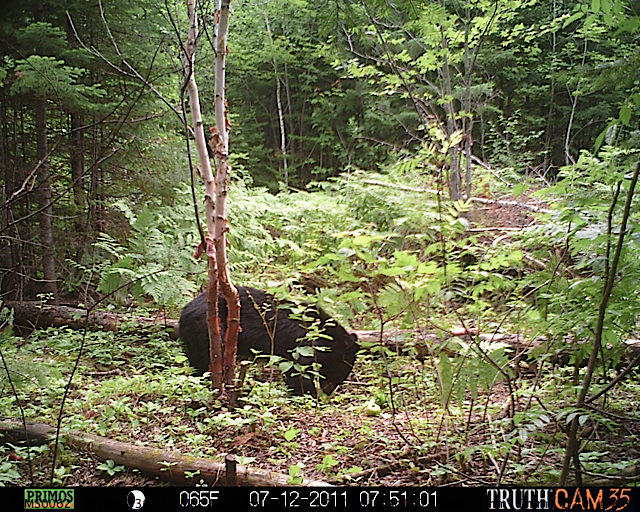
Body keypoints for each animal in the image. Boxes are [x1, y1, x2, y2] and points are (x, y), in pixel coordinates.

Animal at [180, 288, 358, 396]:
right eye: (340, 368)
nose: (329, 390)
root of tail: (184, 311)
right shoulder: (301, 346)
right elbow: (298, 373)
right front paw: (309, 393)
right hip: (207, 330)